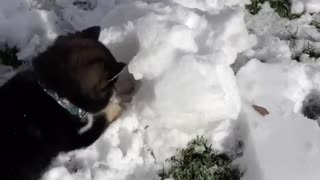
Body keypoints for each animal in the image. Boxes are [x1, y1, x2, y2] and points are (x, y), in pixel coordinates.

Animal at [0, 26, 125, 180]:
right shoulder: (73, 139)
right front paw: (115, 107)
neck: (53, 95)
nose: (116, 92)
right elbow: (100, 120)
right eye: (111, 87)